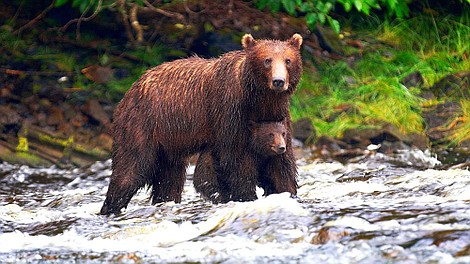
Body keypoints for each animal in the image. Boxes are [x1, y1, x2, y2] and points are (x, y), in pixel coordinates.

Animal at [100, 33, 302, 214]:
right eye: (267, 60)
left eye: (288, 60)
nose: (278, 81)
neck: (260, 101)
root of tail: (130, 90)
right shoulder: (230, 113)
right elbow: (235, 160)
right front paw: (245, 196)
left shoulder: (278, 116)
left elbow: (282, 165)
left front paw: (286, 193)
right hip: (142, 123)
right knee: (130, 168)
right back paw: (110, 207)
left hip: (169, 143)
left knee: (169, 178)